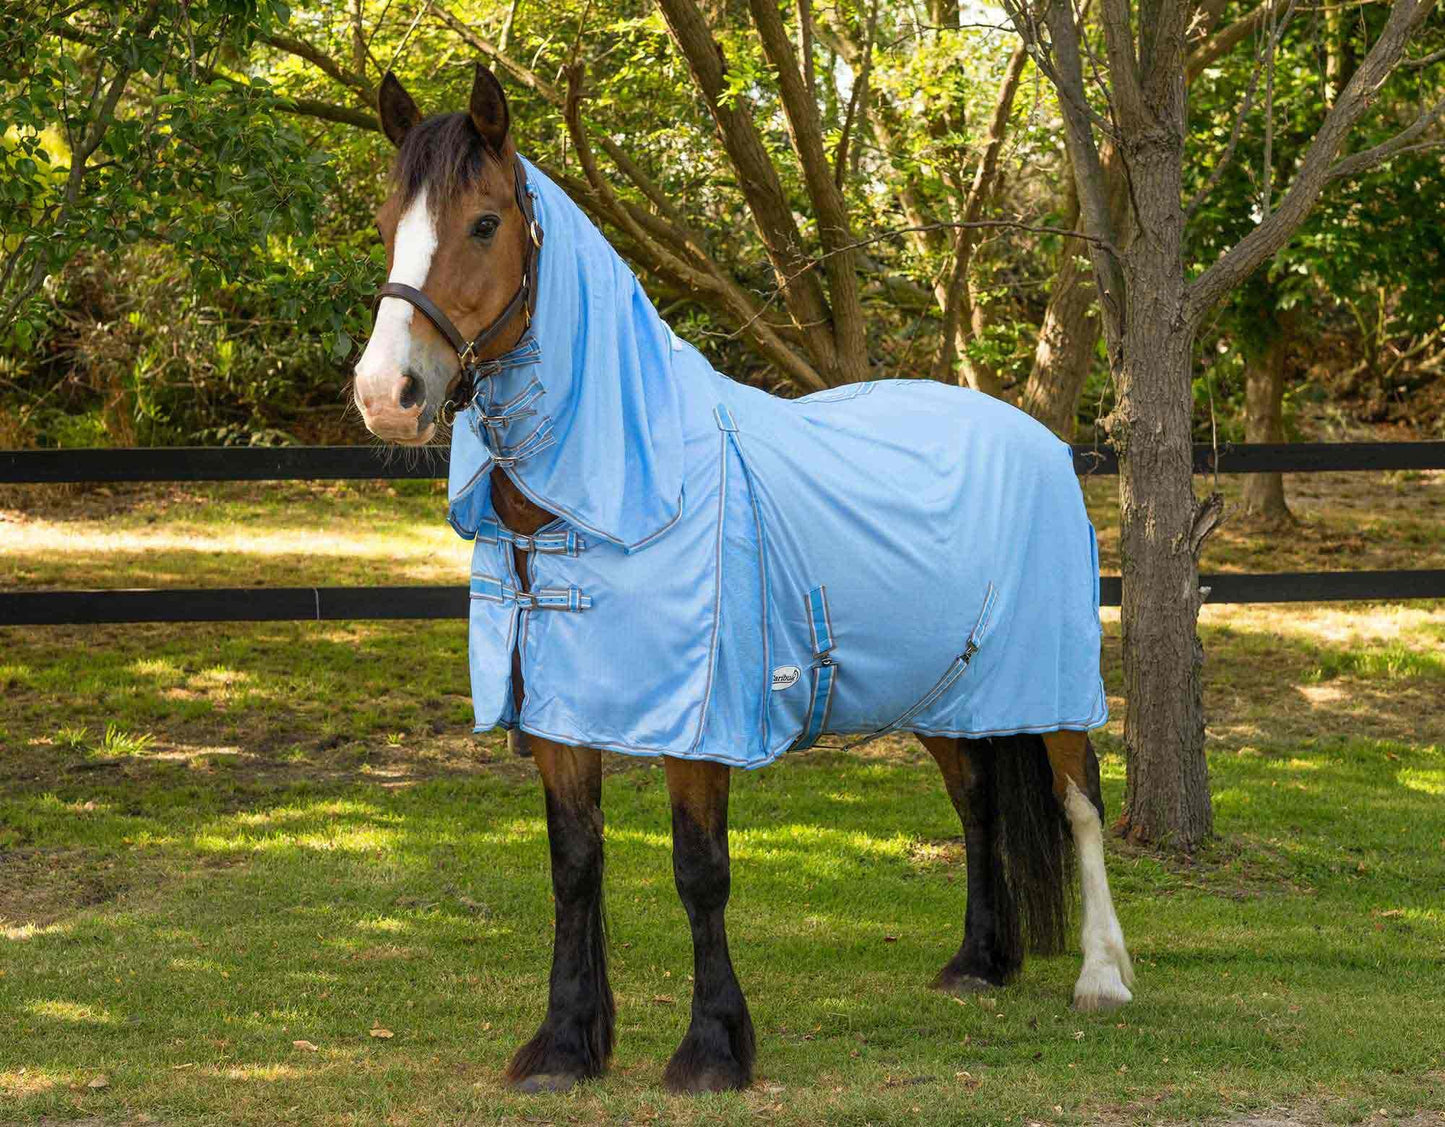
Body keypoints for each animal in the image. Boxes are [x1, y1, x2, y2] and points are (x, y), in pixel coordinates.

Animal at [351, 63, 1133, 1095]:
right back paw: (978, 961)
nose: (385, 395)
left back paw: (1101, 976)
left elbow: (699, 869)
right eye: (386, 221)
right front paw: (564, 1044)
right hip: (942, 688)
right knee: (976, 802)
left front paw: (712, 1048)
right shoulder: (560, 717)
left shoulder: (699, 719)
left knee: (1079, 800)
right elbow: (574, 866)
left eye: (483, 222)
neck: (619, 492)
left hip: (1047, 681)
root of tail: (1034, 434)